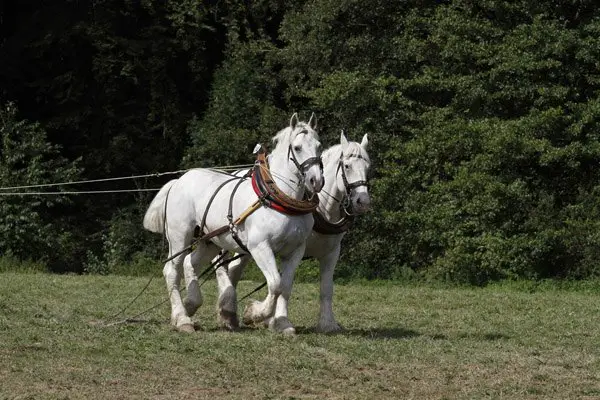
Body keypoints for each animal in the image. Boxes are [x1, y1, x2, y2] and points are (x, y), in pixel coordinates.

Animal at [142, 113, 324, 334]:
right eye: (297, 148)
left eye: (319, 146)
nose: (316, 181)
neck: (280, 199)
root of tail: (178, 181)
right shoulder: (260, 247)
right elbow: (275, 284)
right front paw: (255, 313)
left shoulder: (295, 250)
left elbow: (286, 287)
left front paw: (282, 323)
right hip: (179, 237)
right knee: (171, 271)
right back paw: (182, 318)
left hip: (209, 241)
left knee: (190, 263)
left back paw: (190, 305)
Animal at [213, 133, 368, 332]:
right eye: (347, 166)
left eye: (368, 167)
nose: (363, 201)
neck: (322, 210)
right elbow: (284, 284)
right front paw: (275, 320)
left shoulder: (331, 252)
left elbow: (326, 288)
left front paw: (327, 324)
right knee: (222, 266)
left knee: (234, 271)